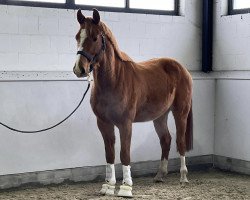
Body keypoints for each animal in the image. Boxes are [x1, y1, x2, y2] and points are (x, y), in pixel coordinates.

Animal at [73, 9, 192, 197]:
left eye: (94, 37)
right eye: (78, 36)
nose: (79, 69)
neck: (114, 80)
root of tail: (182, 68)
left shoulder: (125, 123)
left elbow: (124, 154)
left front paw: (125, 187)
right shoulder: (103, 123)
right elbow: (109, 154)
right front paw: (108, 186)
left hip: (180, 112)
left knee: (180, 141)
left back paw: (183, 177)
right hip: (160, 116)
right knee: (166, 139)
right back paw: (160, 175)